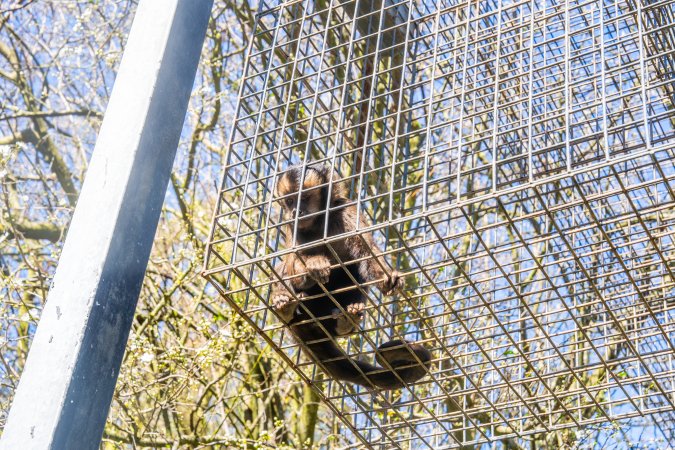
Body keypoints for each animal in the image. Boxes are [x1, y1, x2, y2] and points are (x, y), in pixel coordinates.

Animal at [269, 164, 432, 390]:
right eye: (291, 200)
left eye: (306, 197)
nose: (295, 211)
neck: (320, 223)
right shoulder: (291, 225)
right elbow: (292, 261)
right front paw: (314, 264)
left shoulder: (346, 209)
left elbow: (365, 249)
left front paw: (387, 276)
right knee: (283, 270)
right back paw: (285, 306)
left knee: (354, 270)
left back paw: (346, 322)